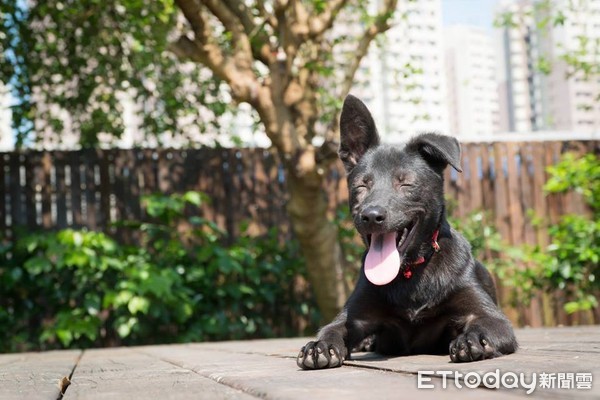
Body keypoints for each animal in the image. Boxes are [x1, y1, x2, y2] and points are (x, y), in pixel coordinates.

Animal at [298, 95, 516, 370]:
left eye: (405, 183)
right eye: (361, 185)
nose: (371, 216)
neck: (410, 273)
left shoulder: (491, 317)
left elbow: (484, 324)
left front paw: (472, 340)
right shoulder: (355, 317)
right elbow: (333, 328)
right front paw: (320, 345)